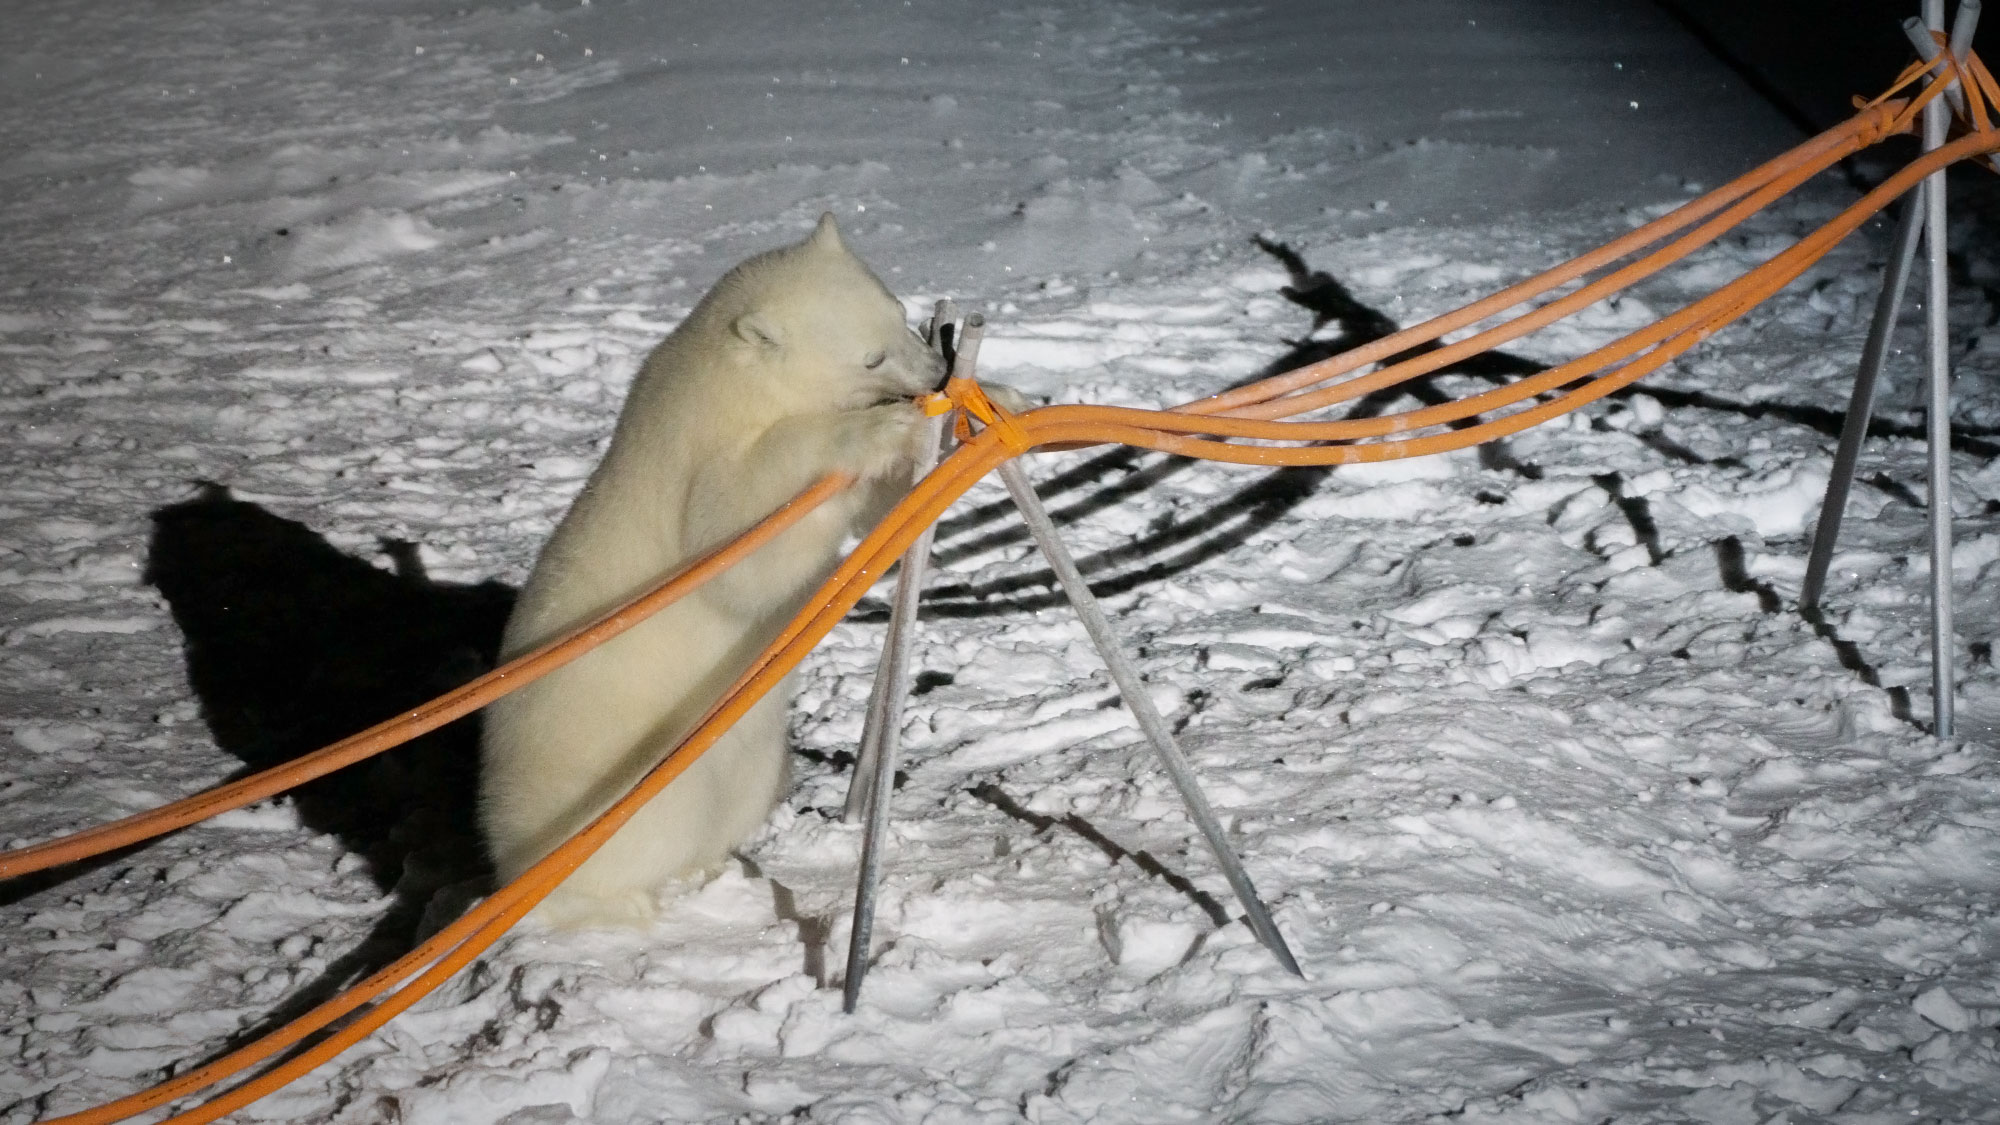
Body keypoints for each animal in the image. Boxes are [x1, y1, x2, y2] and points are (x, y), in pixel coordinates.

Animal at [488, 212, 948, 920]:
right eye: (869, 355)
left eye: (899, 311)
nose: (938, 371)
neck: (730, 381)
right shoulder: (694, 461)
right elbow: (736, 539)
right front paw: (880, 430)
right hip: (612, 782)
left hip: (746, 757)